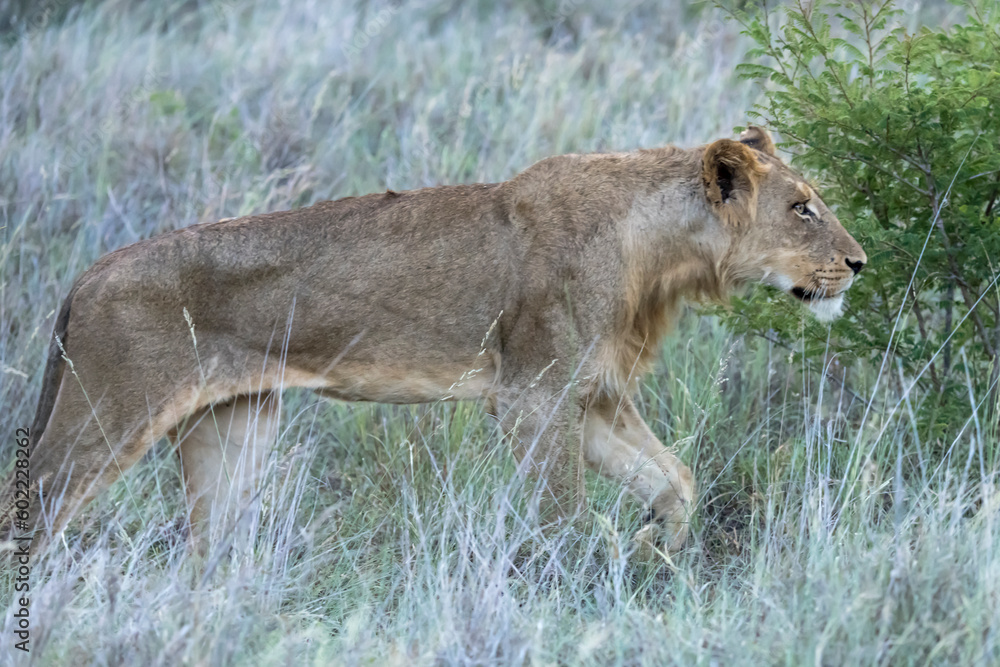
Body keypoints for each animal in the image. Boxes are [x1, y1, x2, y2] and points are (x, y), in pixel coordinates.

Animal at [5, 126, 865, 555]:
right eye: (802, 208)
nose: (859, 263)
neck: (657, 254)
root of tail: (86, 273)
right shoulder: (533, 395)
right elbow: (562, 513)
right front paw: (578, 582)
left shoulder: (590, 397)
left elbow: (674, 478)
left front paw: (657, 549)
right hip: (104, 414)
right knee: (32, 515)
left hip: (234, 426)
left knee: (205, 546)